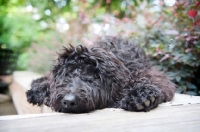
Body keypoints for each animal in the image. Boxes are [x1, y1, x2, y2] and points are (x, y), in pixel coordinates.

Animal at [25, 36, 176, 113]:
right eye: (68, 73)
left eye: (95, 76)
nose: (68, 101)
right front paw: (40, 91)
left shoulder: (148, 72)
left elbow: (154, 80)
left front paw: (140, 95)